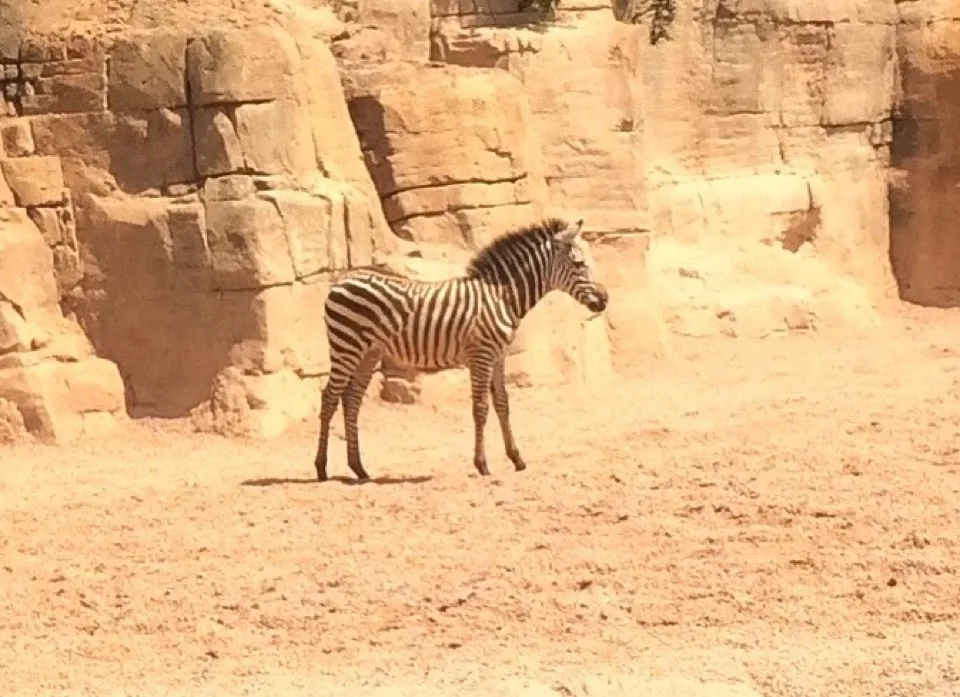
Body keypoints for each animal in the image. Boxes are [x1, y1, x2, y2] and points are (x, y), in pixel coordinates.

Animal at [313, 217, 609, 482]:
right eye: (579, 264)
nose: (605, 300)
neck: (502, 297)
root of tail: (343, 279)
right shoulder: (481, 356)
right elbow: (481, 408)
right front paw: (482, 464)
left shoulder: (498, 357)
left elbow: (503, 405)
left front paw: (517, 459)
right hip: (346, 346)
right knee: (329, 398)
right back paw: (321, 468)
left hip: (368, 353)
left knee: (351, 400)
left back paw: (359, 468)